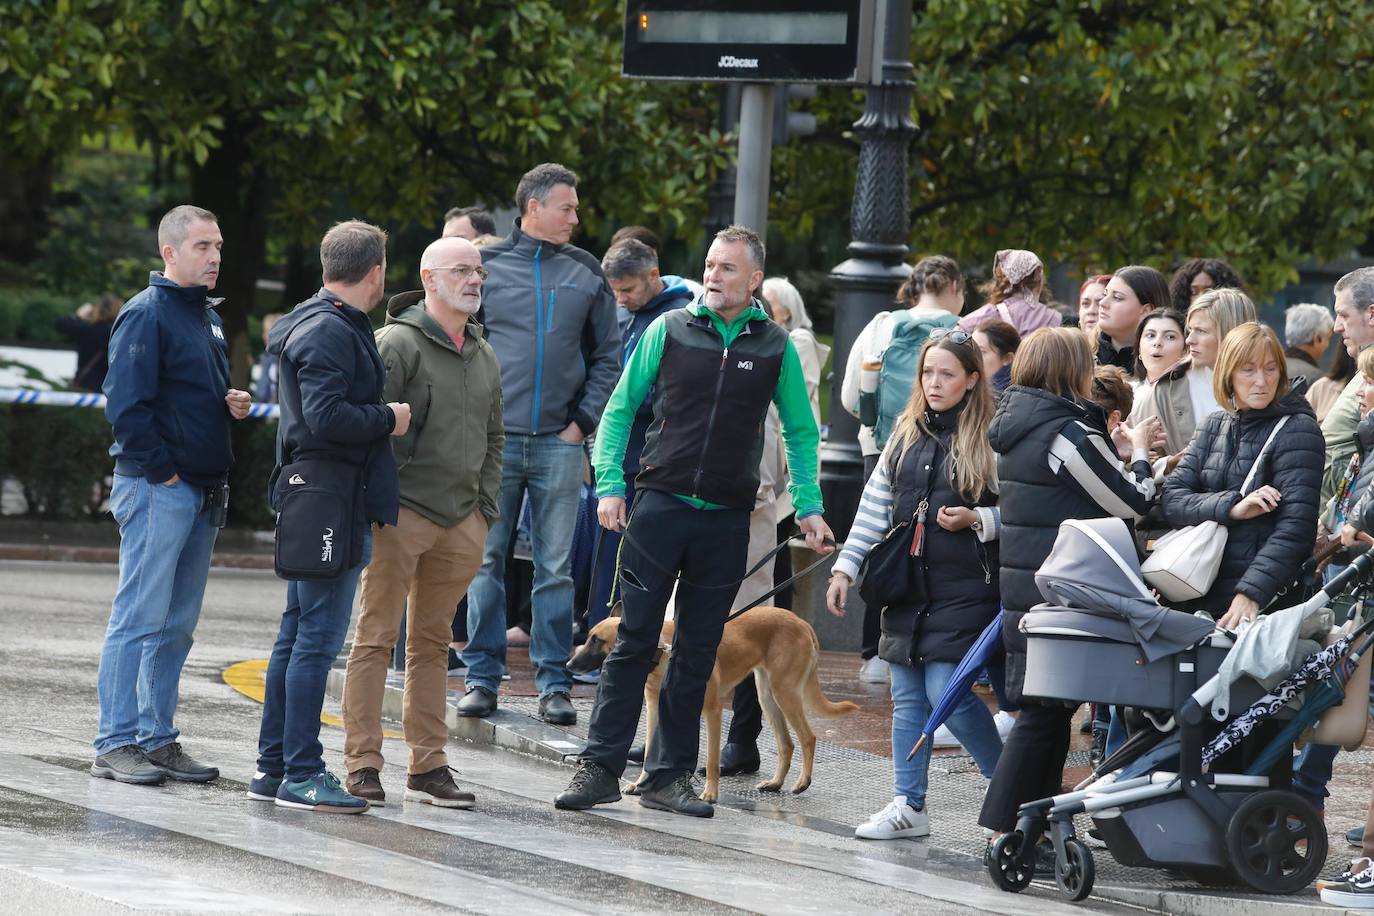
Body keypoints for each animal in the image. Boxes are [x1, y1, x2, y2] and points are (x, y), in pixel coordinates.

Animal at [563, 609, 851, 802]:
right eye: (588, 637)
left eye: (596, 640)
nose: (568, 664)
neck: (663, 651)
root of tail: (802, 623)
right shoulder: (655, 710)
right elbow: (649, 753)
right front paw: (641, 783)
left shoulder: (712, 711)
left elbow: (712, 759)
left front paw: (710, 793)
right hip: (767, 696)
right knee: (786, 743)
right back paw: (775, 783)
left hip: (785, 692)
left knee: (808, 737)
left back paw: (802, 782)